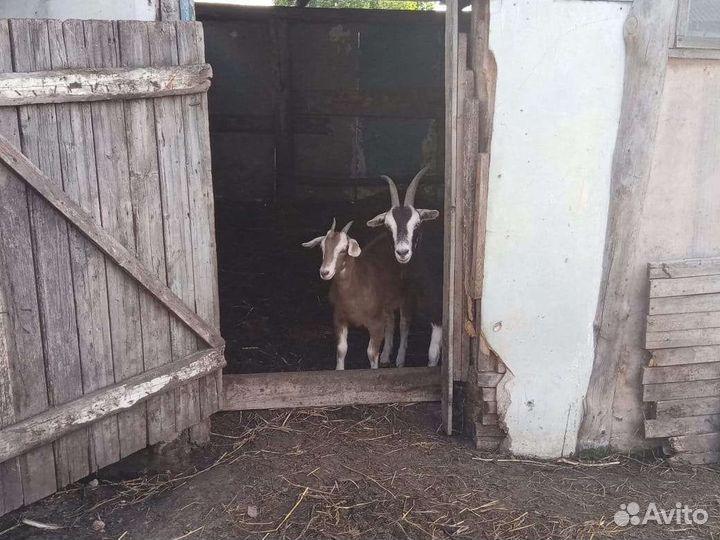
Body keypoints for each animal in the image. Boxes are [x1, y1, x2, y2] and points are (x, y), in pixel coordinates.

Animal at [302, 219, 402, 370]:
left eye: (343, 249)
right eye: (322, 247)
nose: (325, 272)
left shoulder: (376, 323)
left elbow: (372, 353)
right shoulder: (339, 318)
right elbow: (341, 349)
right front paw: (339, 370)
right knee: (391, 319)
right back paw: (385, 356)